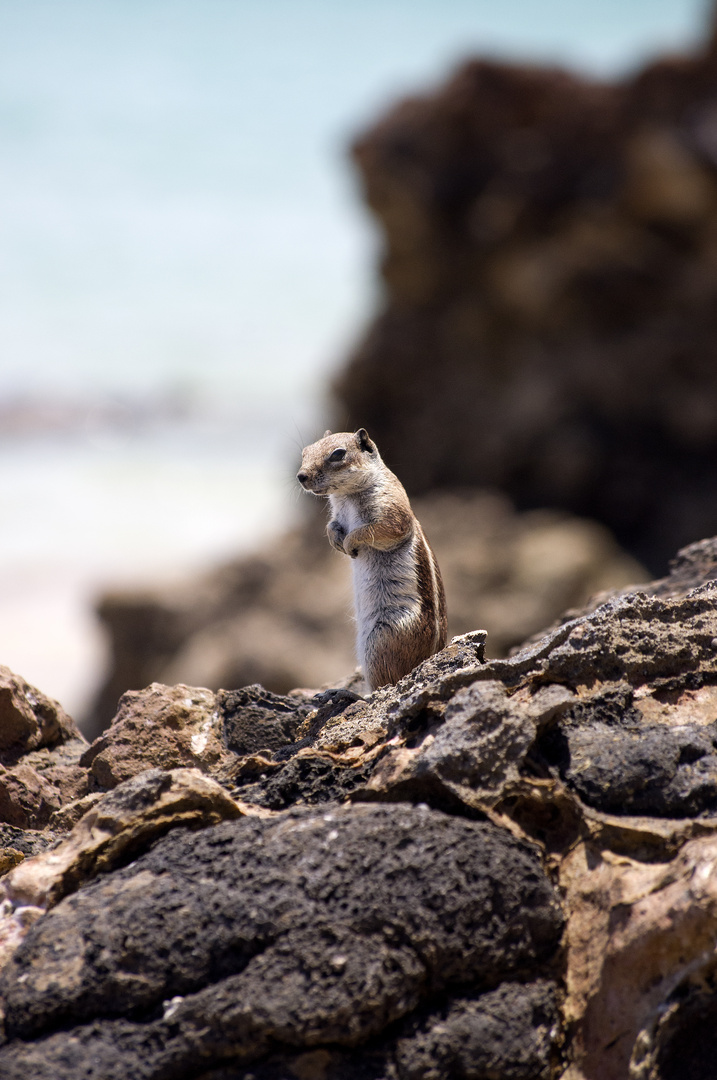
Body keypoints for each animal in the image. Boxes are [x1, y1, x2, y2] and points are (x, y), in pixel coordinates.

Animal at [295, 425, 442, 686]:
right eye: (305, 451)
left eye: (338, 454)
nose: (301, 476)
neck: (346, 495)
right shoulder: (337, 514)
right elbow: (331, 525)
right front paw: (336, 541)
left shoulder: (391, 513)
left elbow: (374, 530)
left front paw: (350, 544)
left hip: (380, 640)